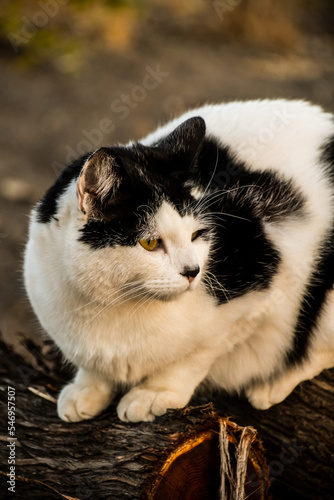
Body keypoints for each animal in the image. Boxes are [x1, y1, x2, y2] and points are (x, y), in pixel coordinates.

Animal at [24, 98, 334, 422]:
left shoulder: (260, 296)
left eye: (197, 234)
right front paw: (87, 389)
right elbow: (94, 367)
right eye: (149, 242)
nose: (193, 271)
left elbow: (193, 357)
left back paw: (270, 386)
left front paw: (155, 393)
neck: (112, 307)